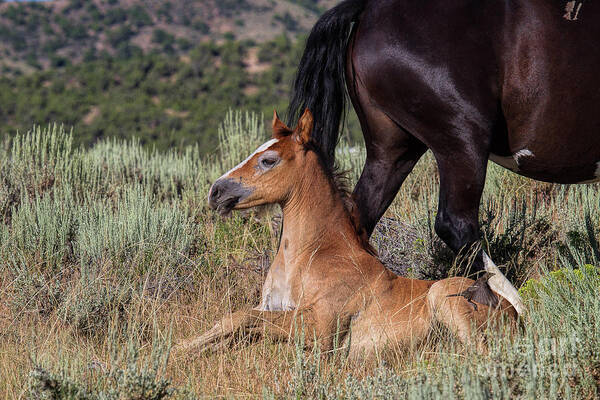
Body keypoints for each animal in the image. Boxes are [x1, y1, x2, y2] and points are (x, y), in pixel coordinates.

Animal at [178, 110, 516, 360]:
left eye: (268, 160)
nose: (216, 192)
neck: (308, 256)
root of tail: (514, 315)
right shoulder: (270, 308)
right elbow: (232, 323)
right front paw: (184, 351)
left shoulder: (320, 328)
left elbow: (241, 318)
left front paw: (176, 353)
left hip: (444, 297)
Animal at [286, 0, 600, 316]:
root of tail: (370, 10)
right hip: (462, 141)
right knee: (456, 224)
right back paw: (516, 307)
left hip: (393, 150)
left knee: (359, 218)